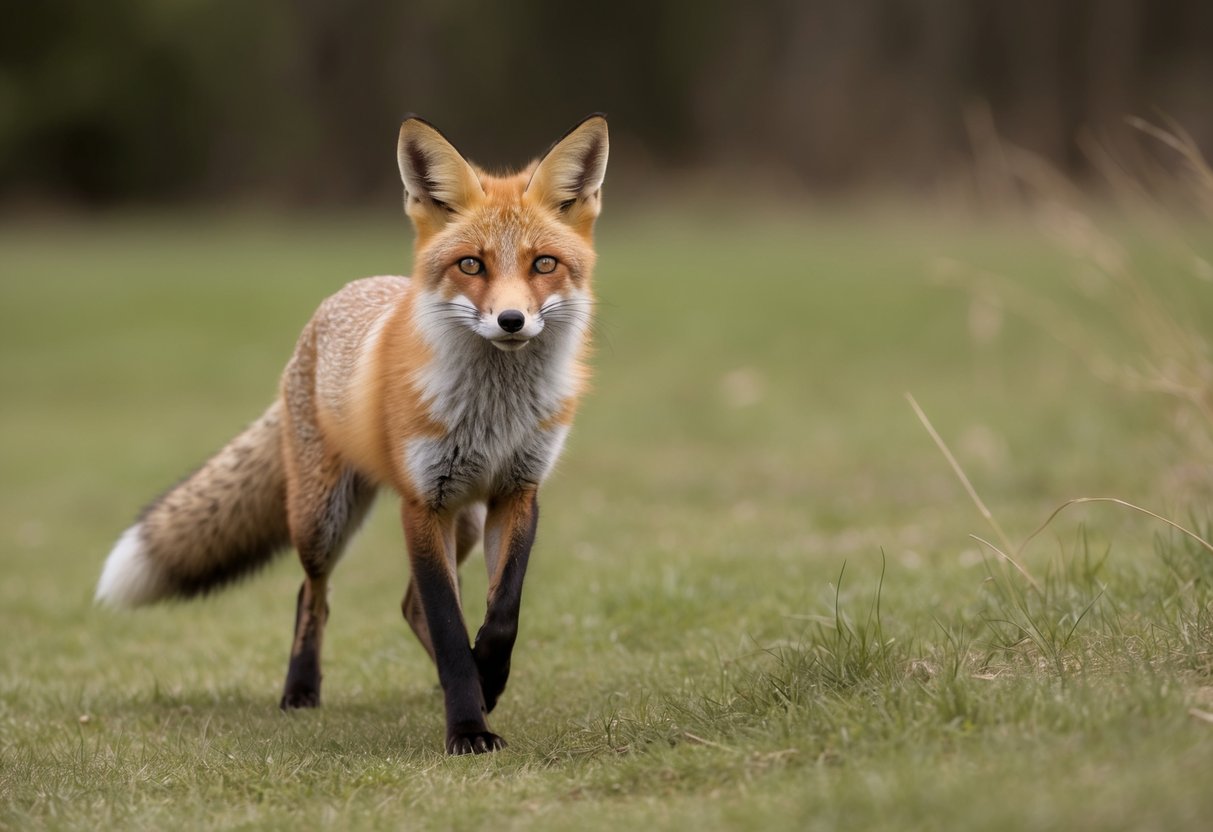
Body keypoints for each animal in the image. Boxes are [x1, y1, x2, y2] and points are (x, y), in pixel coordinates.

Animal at [95, 114, 609, 755]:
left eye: (543, 264)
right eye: (471, 265)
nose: (511, 321)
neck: (494, 413)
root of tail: (340, 298)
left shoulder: (517, 491)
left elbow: (499, 615)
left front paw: (488, 679)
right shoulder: (422, 504)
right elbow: (449, 625)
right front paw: (467, 728)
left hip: (463, 522)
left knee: (409, 605)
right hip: (322, 520)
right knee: (312, 594)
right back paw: (300, 691)